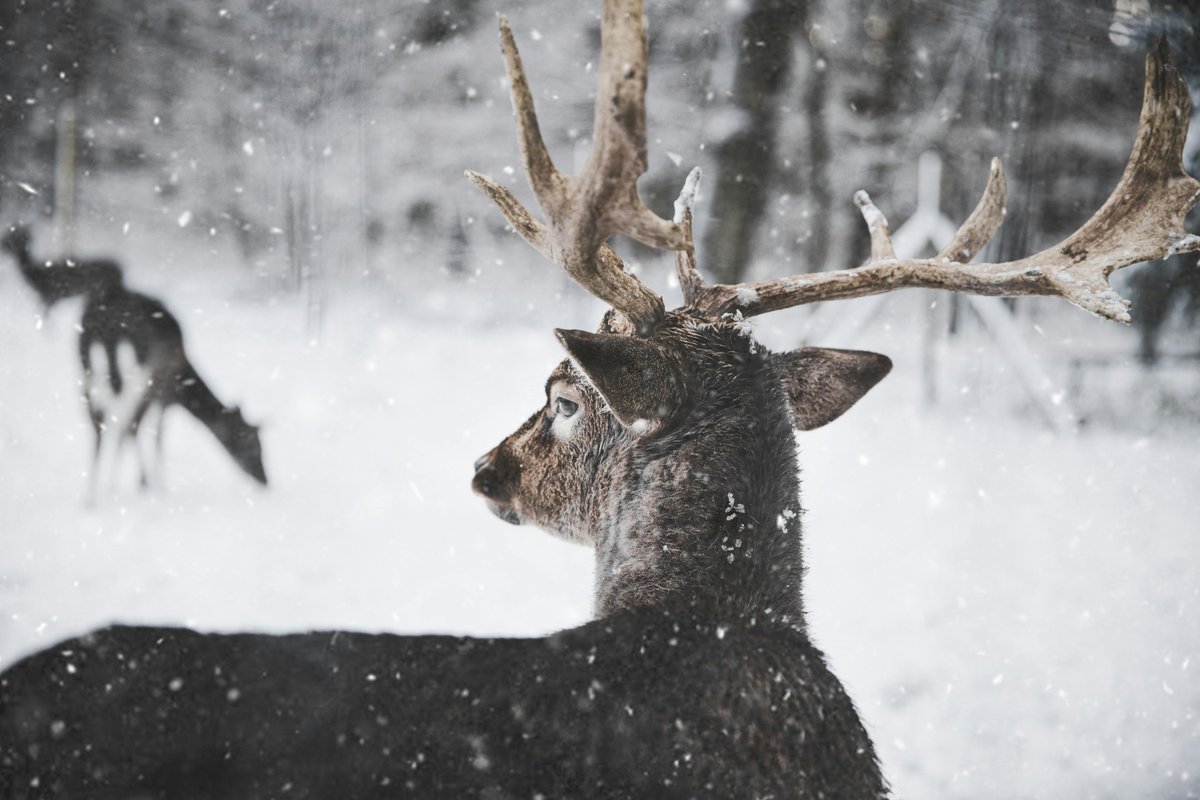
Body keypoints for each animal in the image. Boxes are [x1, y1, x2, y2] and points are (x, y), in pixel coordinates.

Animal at [2, 225, 268, 500]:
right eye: (252, 442)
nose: (265, 480)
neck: (185, 380)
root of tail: (104, 328)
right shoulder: (163, 391)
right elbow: (154, 434)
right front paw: (154, 484)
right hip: (135, 372)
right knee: (123, 423)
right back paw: (119, 486)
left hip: (87, 367)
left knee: (99, 424)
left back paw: (92, 495)